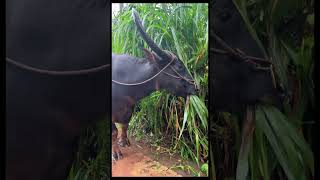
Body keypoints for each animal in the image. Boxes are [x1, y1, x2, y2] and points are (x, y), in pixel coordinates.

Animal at [111, 9, 196, 161]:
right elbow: (114, 132)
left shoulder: (130, 107)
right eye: (180, 66)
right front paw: (115, 152)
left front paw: (124, 141)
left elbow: (125, 124)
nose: (195, 87)